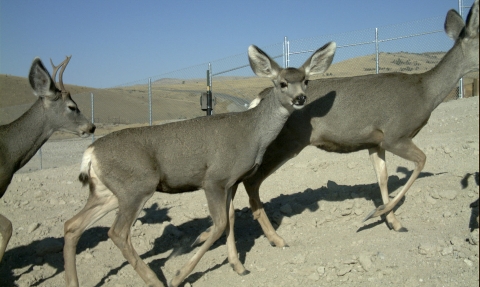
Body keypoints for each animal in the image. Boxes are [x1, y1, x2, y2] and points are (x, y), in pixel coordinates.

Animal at [62, 42, 336, 287]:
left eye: (306, 80)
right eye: (282, 83)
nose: (300, 98)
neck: (253, 134)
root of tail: (91, 152)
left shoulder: (231, 181)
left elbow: (230, 219)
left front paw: (239, 266)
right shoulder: (213, 179)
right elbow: (220, 224)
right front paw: (179, 276)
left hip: (107, 192)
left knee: (72, 225)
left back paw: (74, 282)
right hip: (136, 186)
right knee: (117, 233)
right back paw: (156, 281)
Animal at [194, 0, 476, 250]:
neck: (424, 93)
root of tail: (260, 98)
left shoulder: (374, 141)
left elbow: (383, 177)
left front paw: (394, 221)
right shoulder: (395, 134)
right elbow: (421, 161)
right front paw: (377, 214)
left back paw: (212, 235)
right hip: (285, 143)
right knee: (250, 182)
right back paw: (275, 239)